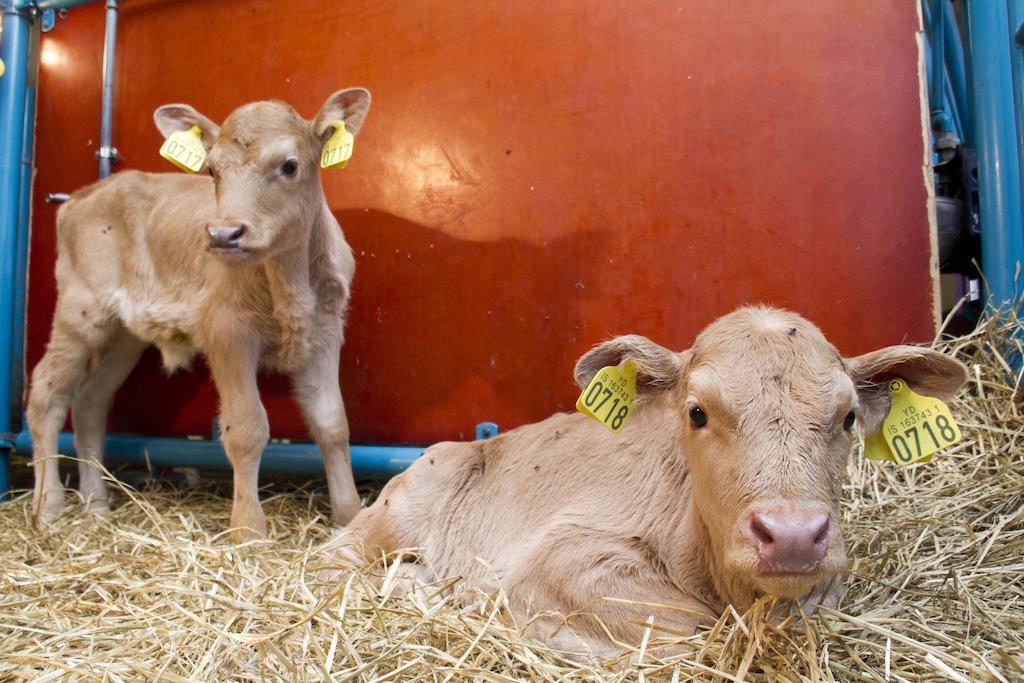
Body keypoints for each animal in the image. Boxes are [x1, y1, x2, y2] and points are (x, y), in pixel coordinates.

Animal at [25, 89, 372, 540]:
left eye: (289, 165)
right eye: (211, 169)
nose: (224, 234)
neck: (291, 283)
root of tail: (87, 193)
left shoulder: (326, 331)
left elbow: (333, 424)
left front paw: (350, 517)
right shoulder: (226, 333)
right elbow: (246, 427)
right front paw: (248, 530)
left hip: (123, 335)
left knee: (89, 402)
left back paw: (96, 506)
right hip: (80, 310)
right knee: (47, 393)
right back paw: (48, 506)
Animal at [333, 307, 966, 655]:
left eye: (849, 417)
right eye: (696, 412)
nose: (791, 534)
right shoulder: (562, 553)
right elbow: (691, 625)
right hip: (400, 511)